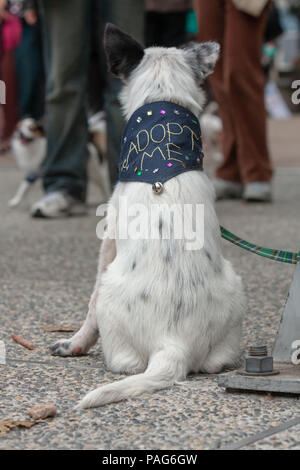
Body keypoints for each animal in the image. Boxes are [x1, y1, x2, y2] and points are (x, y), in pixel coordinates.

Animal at [49, 23, 246, 410]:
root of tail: (173, 346)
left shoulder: (108, 238)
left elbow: (88, 310)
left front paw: (75, 343)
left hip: (110, 289)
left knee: (122, 357)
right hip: (235, 289)